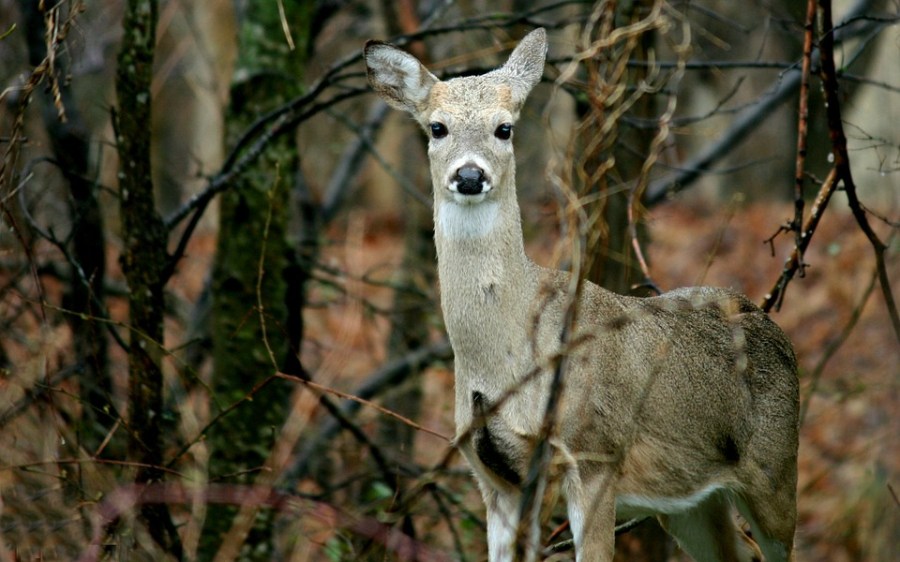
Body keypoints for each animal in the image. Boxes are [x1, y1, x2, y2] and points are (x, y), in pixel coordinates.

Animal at [362, 28, 800, 556]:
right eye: (437, 128)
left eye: (504, 128)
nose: (469, 176)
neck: (508, 357)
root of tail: (768, 321)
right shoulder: (493, 478)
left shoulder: (594, 453)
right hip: (692, 503)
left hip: (776, 472)